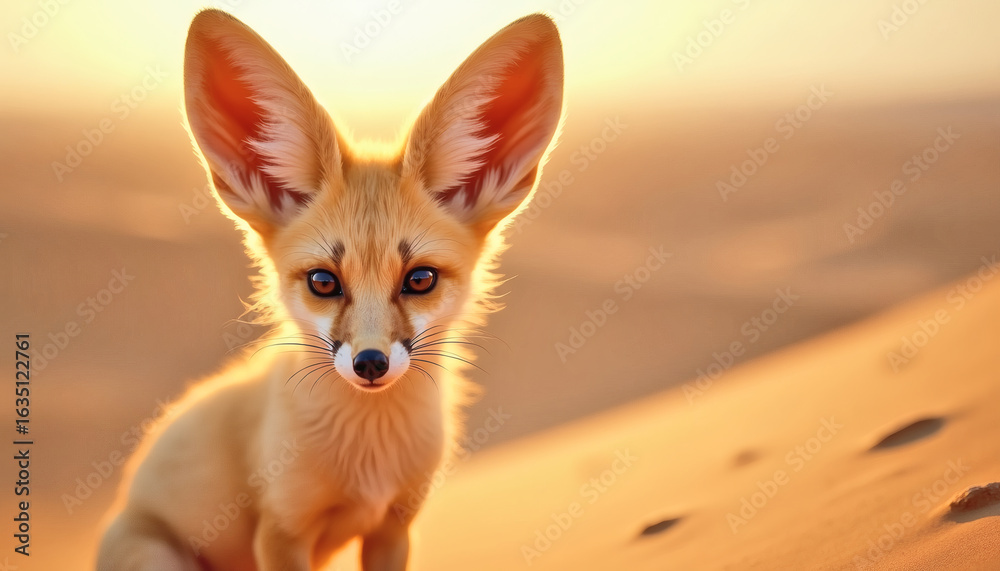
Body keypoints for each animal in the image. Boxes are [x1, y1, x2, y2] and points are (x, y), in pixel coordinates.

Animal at [96, 8, 563, 571]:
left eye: (419, 279)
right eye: (324, 282)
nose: (370, 363)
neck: (368, 461)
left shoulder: (393, 528)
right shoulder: (281, 532)